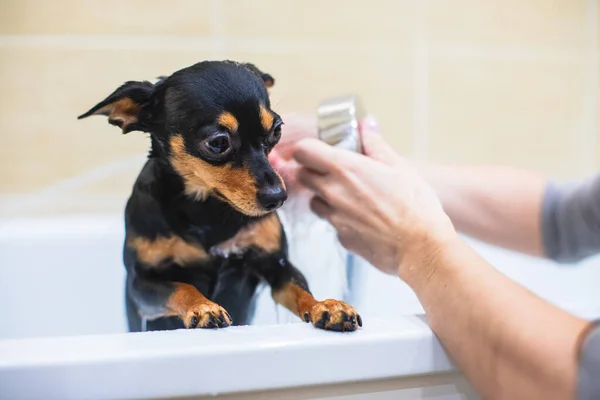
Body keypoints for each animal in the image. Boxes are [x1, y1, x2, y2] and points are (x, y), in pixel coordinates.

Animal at [79, 60, 360, 332]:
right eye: (217, 143)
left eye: (277, 131)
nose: (278, 197)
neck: (205, 208)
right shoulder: (142, 285)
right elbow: (182, 287)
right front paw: (203, 307)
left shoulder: (276, 266)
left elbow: (300, 288)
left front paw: (326, 306)